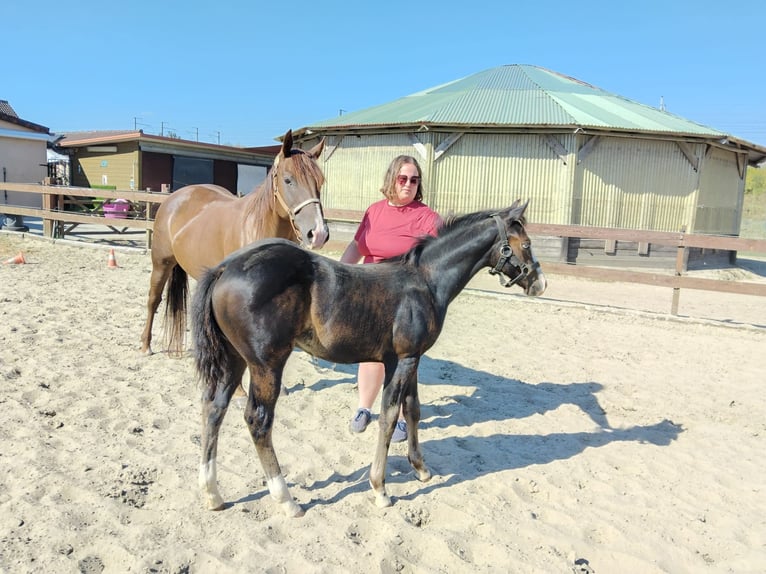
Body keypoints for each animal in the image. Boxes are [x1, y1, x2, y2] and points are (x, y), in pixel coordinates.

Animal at [140, 129, 328, 356]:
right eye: (288, 180)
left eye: (320, 182)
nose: (318, 233)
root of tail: (174, 197)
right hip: (161, 263)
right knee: (153, 300)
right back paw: (146, 345)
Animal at [191, 199, 546, 517]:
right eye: (527, 244)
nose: (540, 283)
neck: (425, 281)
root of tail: (224, 268)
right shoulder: (403, 360)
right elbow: (388, 417)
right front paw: (380, 489)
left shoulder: (409, 358)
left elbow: (412, 410)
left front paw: (421, 468)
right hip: (267, 364)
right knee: (258, 420)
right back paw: (286, 500)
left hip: (235, 359)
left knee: (214, 407)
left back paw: (212, 494)